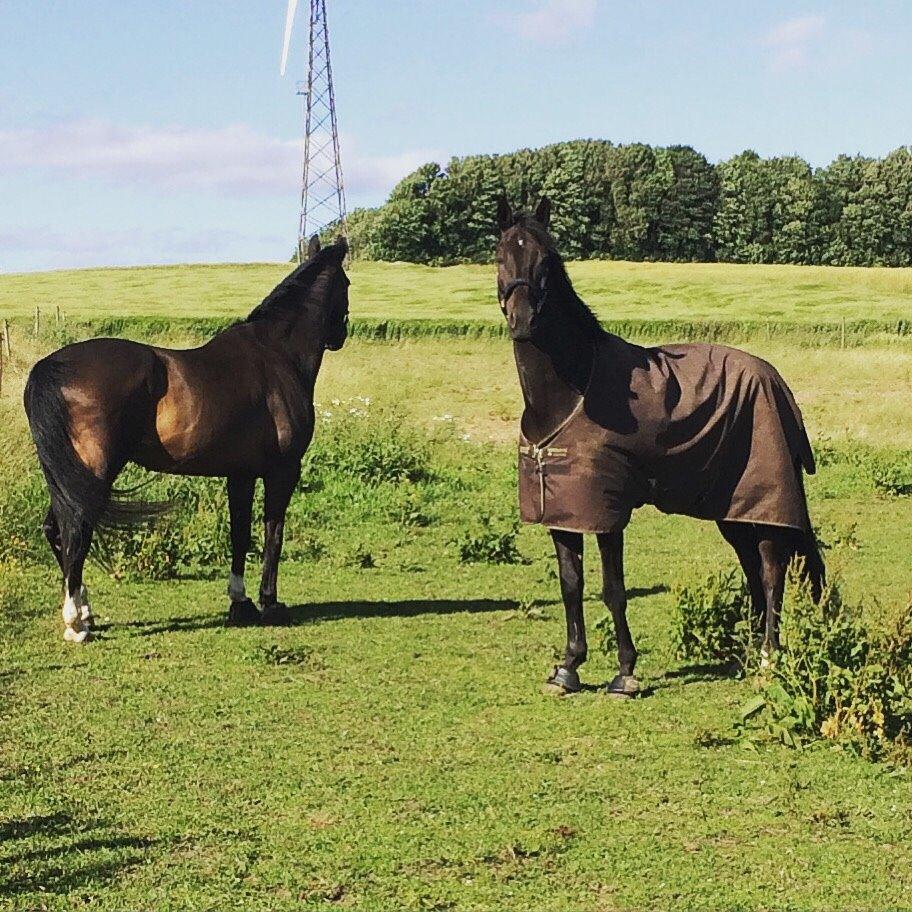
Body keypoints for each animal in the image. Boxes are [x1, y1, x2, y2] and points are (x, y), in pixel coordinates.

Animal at [25, 239, 350, 644]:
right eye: (347, 283)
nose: (342, 334)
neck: (277, 355)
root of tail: (49, 366)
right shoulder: (283, 471)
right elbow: (273, 532)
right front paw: (270, 603)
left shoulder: (240, 474)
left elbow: (240, 533)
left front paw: (240, 603)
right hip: (94, 471)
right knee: (75, 530)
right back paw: (76, 624)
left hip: (65, 477)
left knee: (57, 530)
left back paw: (86, 612)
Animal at [498, 201, 828, 700]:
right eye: (500, 257)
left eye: (546, 262)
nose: (522, 322)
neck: (570, 393)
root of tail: (776, 381)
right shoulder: (562, 510)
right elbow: (571, 585)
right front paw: (568, 668)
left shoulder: (607, 511)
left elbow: (613, 589)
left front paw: (625, 673)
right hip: (732, 511)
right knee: (752, 568)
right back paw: (751, 653)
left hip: (766, 501)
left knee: (772, 570)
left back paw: (769, 660)